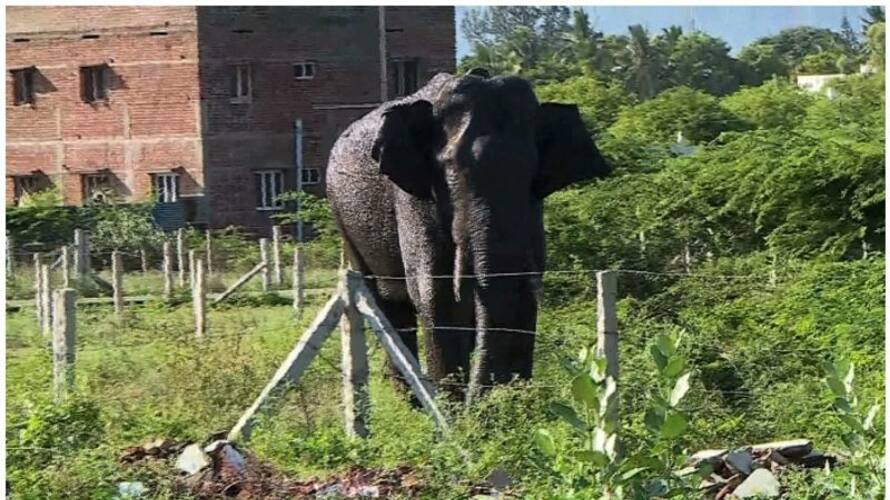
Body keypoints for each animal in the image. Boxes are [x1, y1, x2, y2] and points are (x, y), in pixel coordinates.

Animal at [326, 70, 612, 400]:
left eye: (531, 171)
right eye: (452, 168)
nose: (484, 398)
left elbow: (524, 289)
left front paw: (515, 404)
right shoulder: (413, 197)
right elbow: (435, 292)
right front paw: (455, 408)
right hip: (343, 219)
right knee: (387, 306)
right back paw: (410, 401)